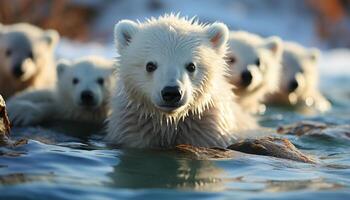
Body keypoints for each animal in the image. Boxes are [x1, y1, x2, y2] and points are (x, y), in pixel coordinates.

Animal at [104, 14, 258, 148]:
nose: (171, 92)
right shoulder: (132, 127)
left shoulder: (208, 130)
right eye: (150, 65)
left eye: (191, 66)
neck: (170, 123)